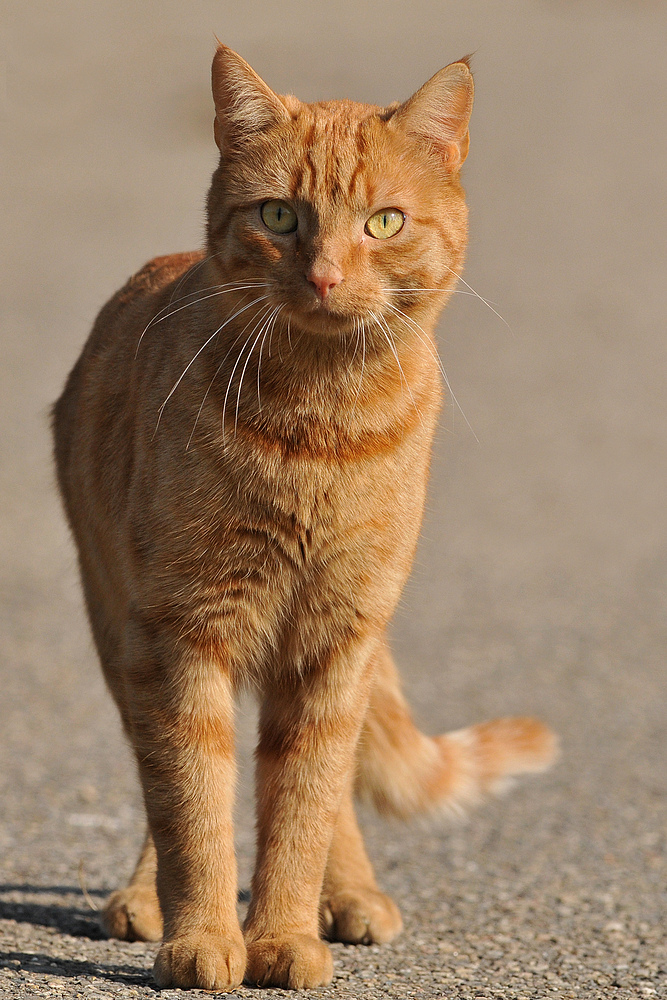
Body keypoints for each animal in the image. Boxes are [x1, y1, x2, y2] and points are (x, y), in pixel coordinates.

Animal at [52, 41, 556, 992]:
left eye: (384, 223)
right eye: (280, 216)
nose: (323, 275)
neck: (320, 428)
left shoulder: (336, 637)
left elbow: (303, 805)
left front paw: (282, 935)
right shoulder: (182, 632)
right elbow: (193, 805)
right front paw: (204, 937)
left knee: (332, 790)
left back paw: (348, 896)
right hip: (117, 627)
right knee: (157, 775)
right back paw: (145, 898)